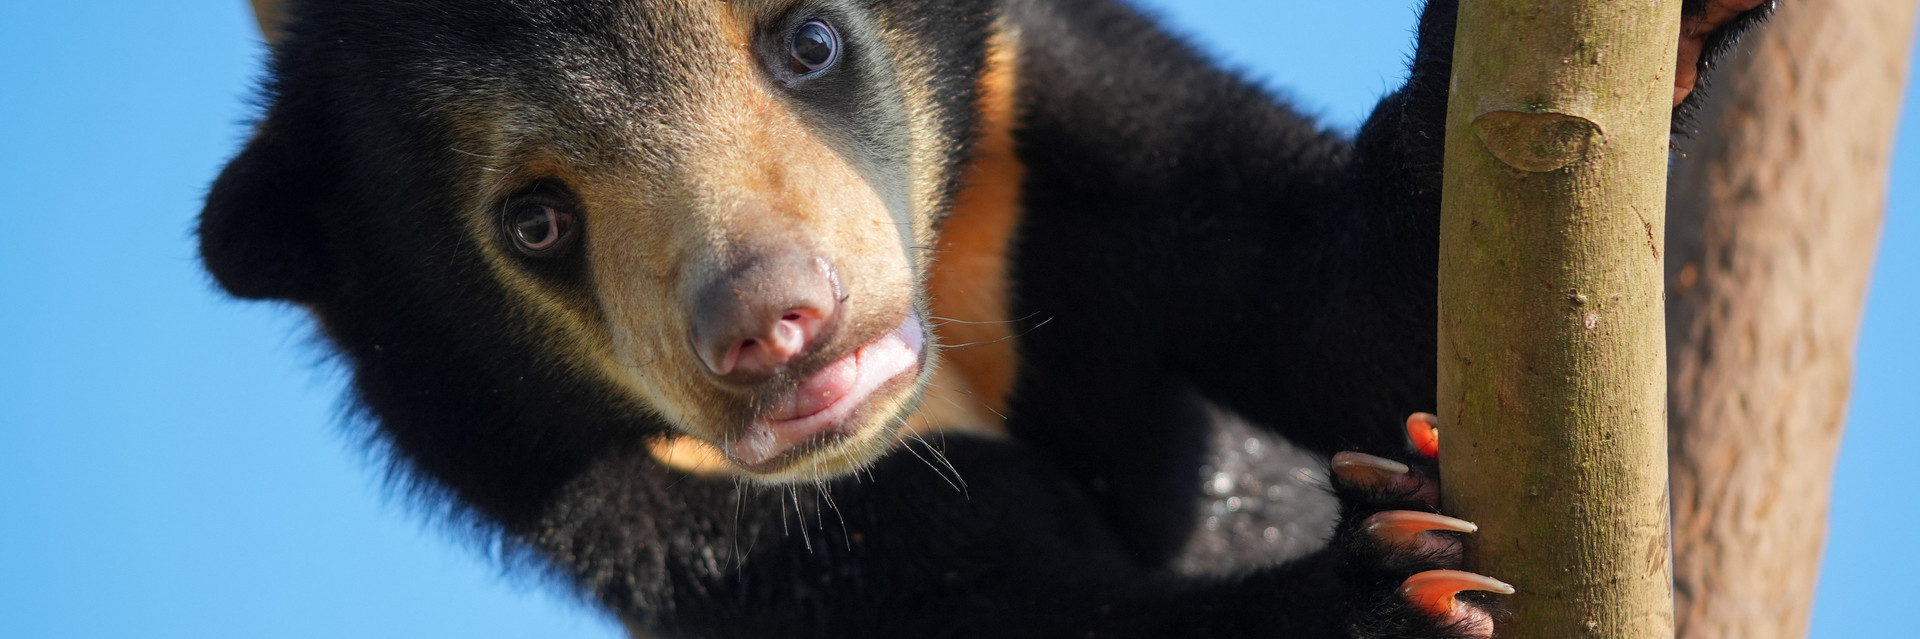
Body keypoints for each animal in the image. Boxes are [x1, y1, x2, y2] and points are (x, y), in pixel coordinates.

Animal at [200, 0, 1773, 636]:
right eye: (535, 221)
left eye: (808, 40)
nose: (776, 325)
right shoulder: (634, 498)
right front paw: (1402, 572)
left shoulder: (1049, 103)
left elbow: (1358, 304)